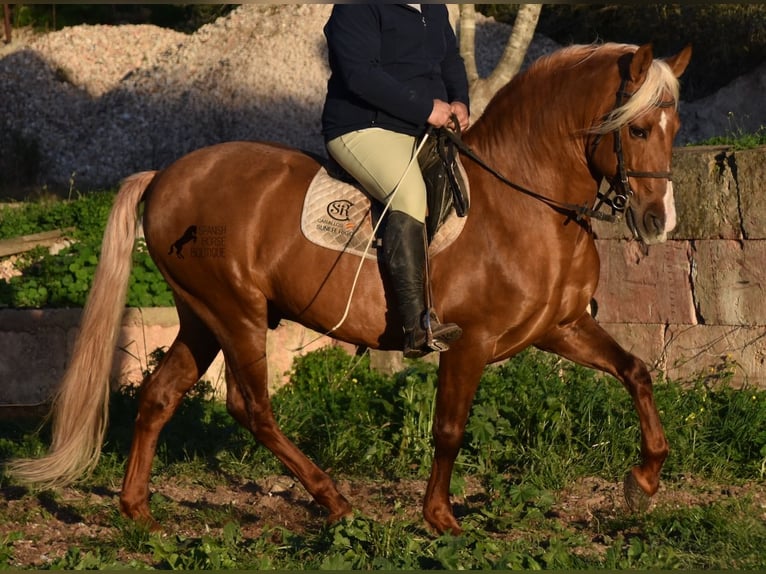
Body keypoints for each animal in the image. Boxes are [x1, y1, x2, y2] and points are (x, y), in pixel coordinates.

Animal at [9, 42, 696, 536]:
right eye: (637, 130)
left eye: (675, 127)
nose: (660, 222)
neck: (525, 203)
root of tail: (165, 176)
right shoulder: (468, 343)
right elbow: (449, 429)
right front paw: (441, 519)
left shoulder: (561, 327)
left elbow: (636, 372)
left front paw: (644, 480)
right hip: (236, 312)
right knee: (251, 408)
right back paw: (333, 500)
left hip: (201, 316)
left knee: (159, 396)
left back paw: (139, 513)